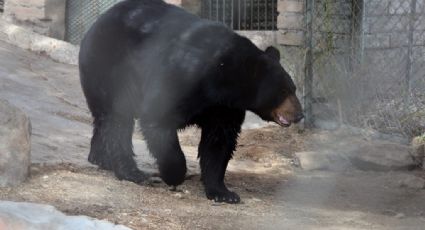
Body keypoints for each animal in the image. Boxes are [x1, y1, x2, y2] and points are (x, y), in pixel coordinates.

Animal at [79, 0, 304, 203]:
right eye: (284, 91)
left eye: (293, 88)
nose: (300, 114)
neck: (223, 78)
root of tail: (94, 25)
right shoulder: (180, 77)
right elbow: (158, 119)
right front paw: (174, 175)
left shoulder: (225, 106)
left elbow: (219, 141)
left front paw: (223, 193)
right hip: (112, 68)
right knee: (118, 119)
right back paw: (132, 172)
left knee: (105, 120)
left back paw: (100, 158)